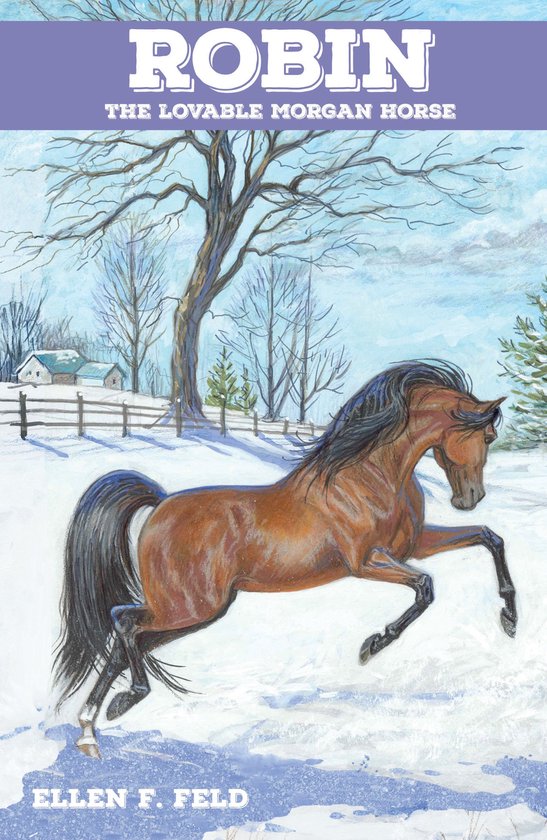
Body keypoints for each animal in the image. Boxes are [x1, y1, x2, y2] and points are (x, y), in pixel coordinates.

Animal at [53, 360, 517, 759]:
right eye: (488, 438)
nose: (470, 499)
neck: (368, 476)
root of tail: (161, 502)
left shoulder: (415, 545)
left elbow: (489, 538)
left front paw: (510, 619)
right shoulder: (366, 561)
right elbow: (425, 587)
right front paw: (373, 644)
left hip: (197, 611)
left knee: (123, 640)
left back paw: (90, 729)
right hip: (188, 607)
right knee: (123, 621)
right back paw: (124, 701)